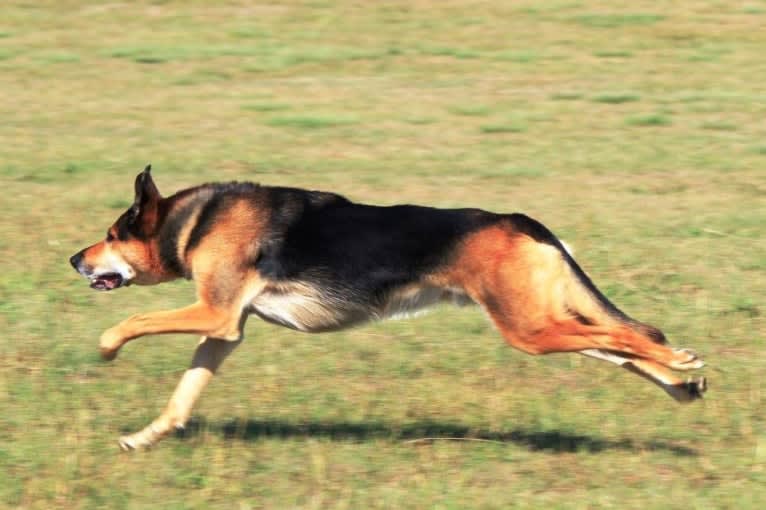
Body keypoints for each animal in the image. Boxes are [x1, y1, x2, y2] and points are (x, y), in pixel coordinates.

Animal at [70, 165, 708, 448]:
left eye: (111, 234)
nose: (75, 259)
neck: (193, 222)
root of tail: (522, 221)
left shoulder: (214, 314)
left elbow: (132, 321)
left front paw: (106, 348)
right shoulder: (226, 331)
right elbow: (183, 396)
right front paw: (145, 438)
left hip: (529, 328)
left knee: (631, 336)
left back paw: (683, 363)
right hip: (545, 320)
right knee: (630, 342)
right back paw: (684, 381)